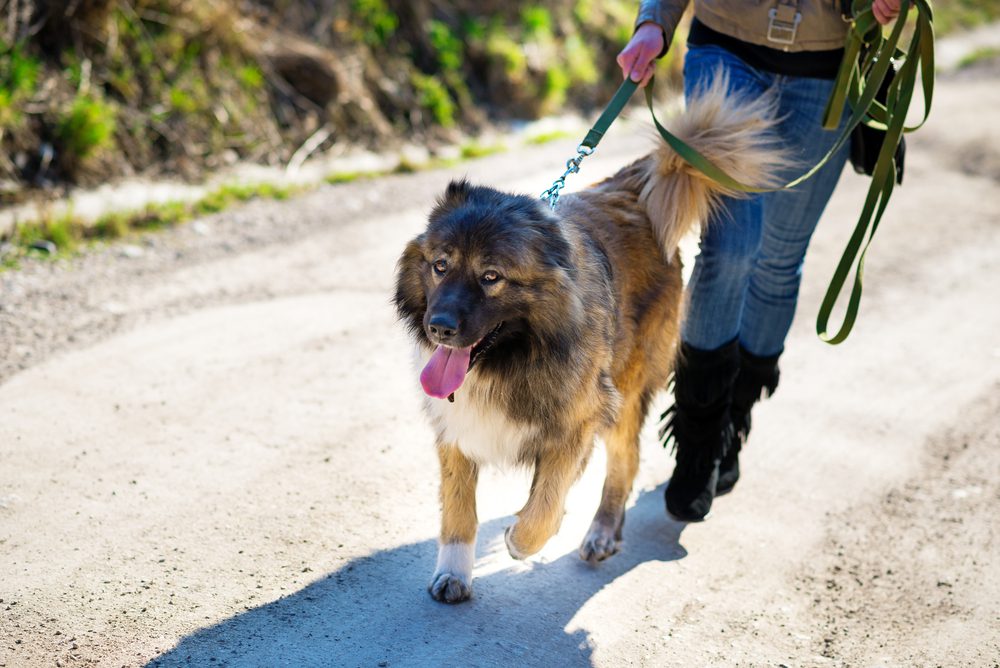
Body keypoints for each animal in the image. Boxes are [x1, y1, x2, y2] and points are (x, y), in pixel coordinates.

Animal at [392, 74, 788, 604]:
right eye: (440, 265)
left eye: (491, 276)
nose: (439, 327)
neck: (515, 357)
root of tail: (636, 193)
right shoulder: (458, 427)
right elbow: (459, 508)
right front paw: (454, 571)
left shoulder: (578, 419)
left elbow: (545, 502)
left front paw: (522, 539)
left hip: (626, 388)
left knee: (625, 461)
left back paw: (601, 531)